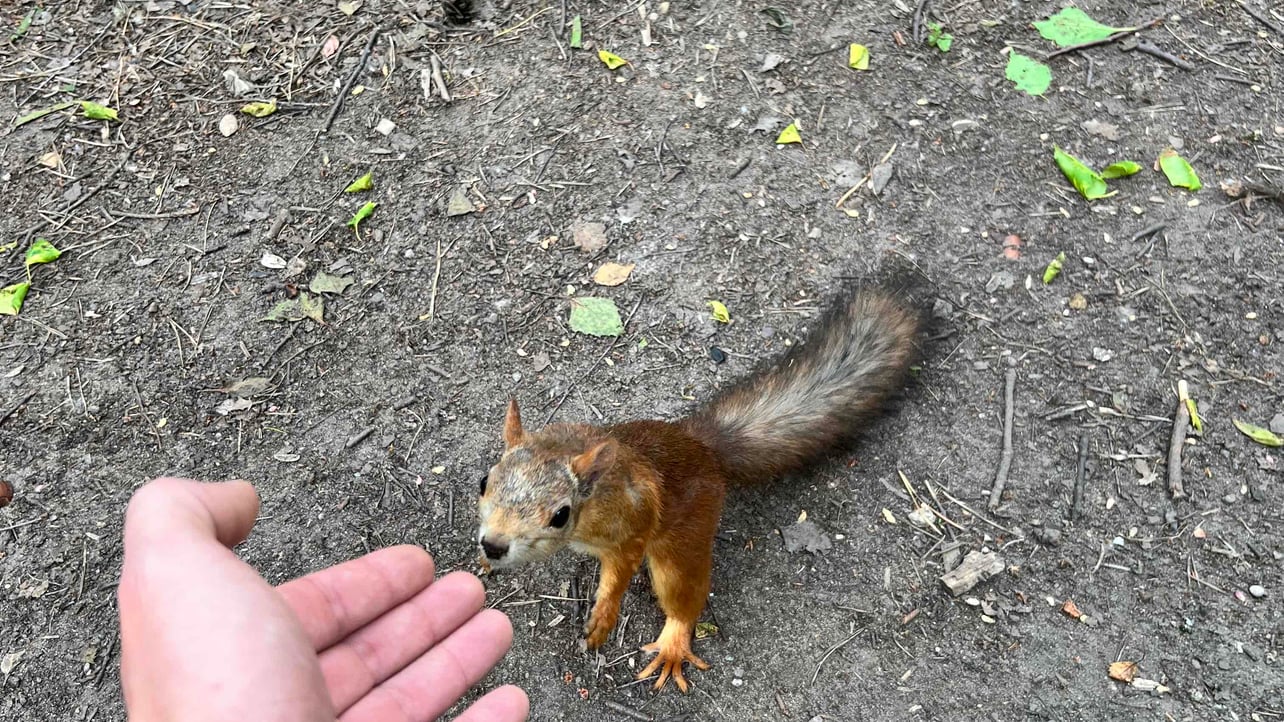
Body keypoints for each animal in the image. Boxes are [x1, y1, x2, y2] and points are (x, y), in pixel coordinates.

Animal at [476, 281, 924, 692]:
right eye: (484, 481)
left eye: (560, 515)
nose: (493, 545)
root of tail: (703, 448)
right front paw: (485, 562)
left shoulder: (633, 519)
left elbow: (621, 569)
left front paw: (603, 617)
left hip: (684, 538)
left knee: (683, 596)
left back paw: (673, 645)